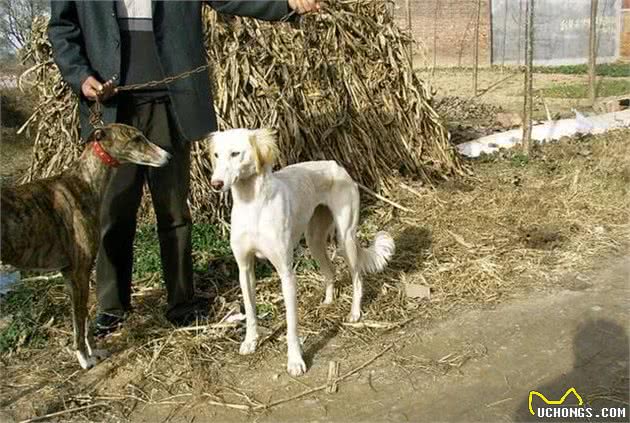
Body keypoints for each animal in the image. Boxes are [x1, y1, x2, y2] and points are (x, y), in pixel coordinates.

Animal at [0, 124, 170, 370]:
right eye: (137, 139)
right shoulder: (79, 271)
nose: (168, 156)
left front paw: (94, 352)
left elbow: (83, 320)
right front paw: (84, 359)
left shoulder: (71, 275)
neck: (83, 181)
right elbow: (79, 323)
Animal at [210, 129, 396, 378]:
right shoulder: (244, 269)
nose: (216, 184)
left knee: (357, 277)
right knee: (331, 271)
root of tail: (336, 165)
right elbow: (250, 311)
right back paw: (328, 301)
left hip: (345, 237)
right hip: (314, 240)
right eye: (216, 155)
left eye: (235, 153)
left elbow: (292, 323)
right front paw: (250, 342)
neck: (253, 204)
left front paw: (295, 361)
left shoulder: (286, 273)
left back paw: (355, 313)